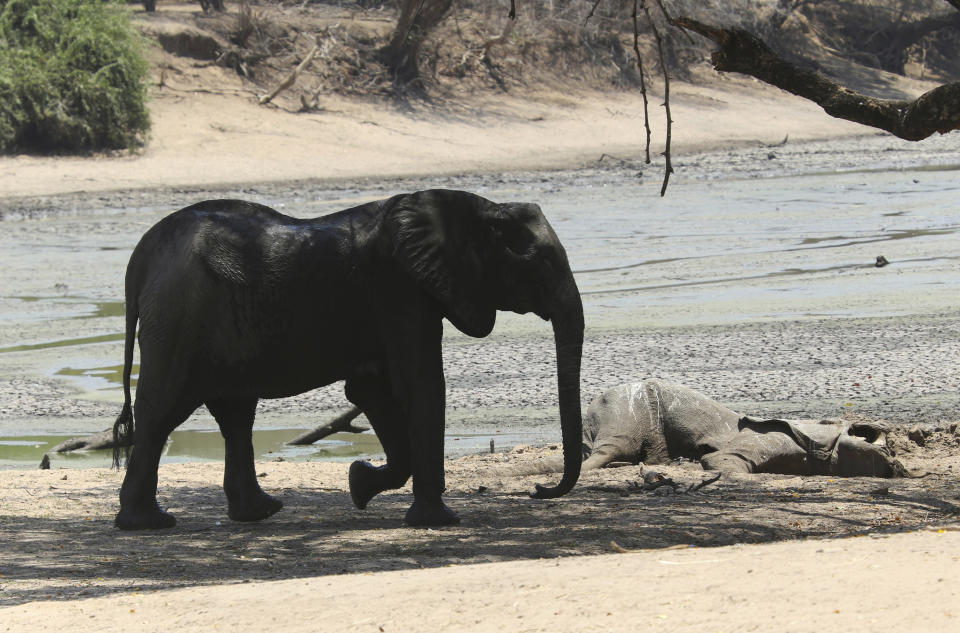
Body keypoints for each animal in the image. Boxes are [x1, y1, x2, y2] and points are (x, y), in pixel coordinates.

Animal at [109, 188, 580, 528]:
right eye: (537, 263)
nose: (539, 490)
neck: (473, 207)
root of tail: (141, 256)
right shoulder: (400, 291)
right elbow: (421, 384)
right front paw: (439, 521)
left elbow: (372, 388)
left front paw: (359, 483)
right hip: (180, 317)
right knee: (164, 410)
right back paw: (148, 524)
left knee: (236, 415)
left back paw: (259, 513)